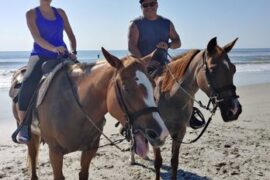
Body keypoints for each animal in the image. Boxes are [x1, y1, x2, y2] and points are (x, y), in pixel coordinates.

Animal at [11, 47, 169, 180]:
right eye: (126, 87)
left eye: (153, 85)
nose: (161, 133)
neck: (74, 108)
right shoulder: (55, 153)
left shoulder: (90, 149)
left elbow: (83, 174)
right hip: (30, 134)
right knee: (33, 159)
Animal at [131, 37, 243, 179]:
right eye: (212, 69)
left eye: (233, 69)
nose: (234, 110)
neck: (170, 98)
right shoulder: (155, 134)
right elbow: (158, 162)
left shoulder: (180, 132)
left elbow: (174, 161)